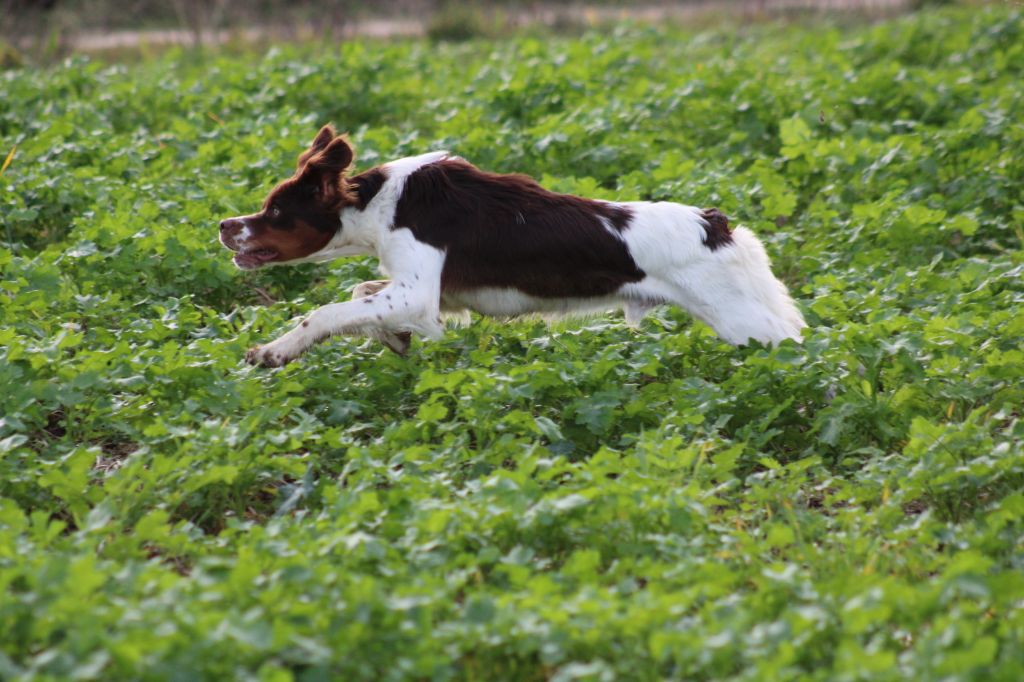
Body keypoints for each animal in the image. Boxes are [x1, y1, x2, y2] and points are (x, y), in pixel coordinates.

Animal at [220, 124, 802, 364]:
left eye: (276, 212)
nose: (224, 224)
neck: (382, 202)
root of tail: (716, 223)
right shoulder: (430, 292)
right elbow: (362, 294)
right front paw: (395, 340)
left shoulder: (417, 291)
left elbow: (324, 312)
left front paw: (273, 351)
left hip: (749, 325)